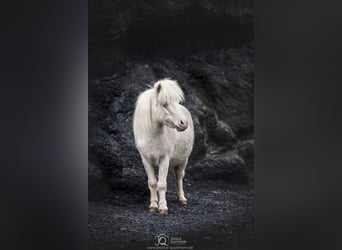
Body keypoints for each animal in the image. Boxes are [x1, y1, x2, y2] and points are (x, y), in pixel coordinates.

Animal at [132, 78, 194, 215]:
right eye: (164, 104)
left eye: (176, 102)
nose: (184, 123)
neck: (152, 136)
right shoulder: (146, 160)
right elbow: (152, 183)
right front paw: (153, 206)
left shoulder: (164, 159)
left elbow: (162, 184)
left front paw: (163, 207)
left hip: (183, 161)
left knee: (179, 177)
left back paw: (182, 199)